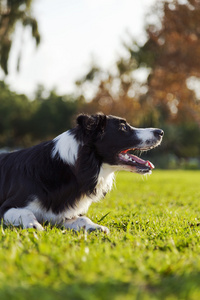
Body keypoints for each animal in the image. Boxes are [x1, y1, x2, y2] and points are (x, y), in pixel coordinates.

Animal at [0, 113, 163, 233]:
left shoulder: (65, 213)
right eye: (123, 127)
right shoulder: (7, 206)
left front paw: (95, 227)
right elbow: (26, 213)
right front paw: (33, 225)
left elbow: (83, 218)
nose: (161, 132)